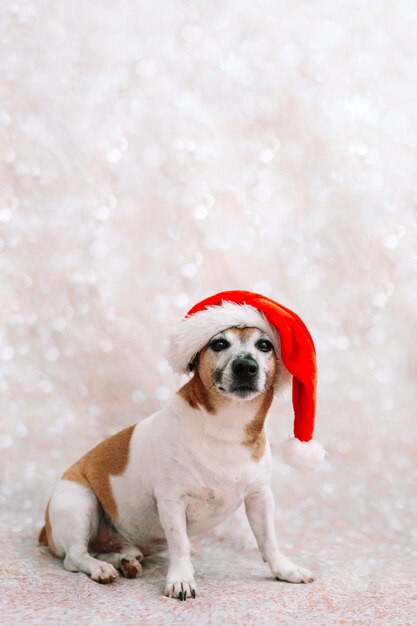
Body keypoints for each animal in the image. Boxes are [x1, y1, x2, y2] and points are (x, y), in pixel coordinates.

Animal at [39, 324, 314, 596]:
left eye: (265, 345)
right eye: (219, 343)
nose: (246, 366)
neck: (227, 426)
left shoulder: (260, 497)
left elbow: (268, 540)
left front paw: (285, 569)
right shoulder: (172, 501)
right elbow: (181, 544)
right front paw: (181, 579)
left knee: (115, 551)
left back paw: (124, 562)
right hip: (79, 502)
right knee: (75, 556)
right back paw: (100, 568)